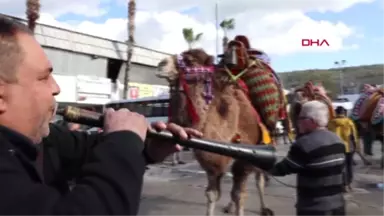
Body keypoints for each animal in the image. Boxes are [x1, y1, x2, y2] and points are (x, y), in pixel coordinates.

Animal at [154, 34, 286, 215]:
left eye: (190, 60)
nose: (161, 64)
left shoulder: (247, 159)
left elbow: (239, 195)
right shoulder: (212, 165)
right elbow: (212, 194)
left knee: (259, 179)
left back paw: (264, 208)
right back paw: (229, 206)